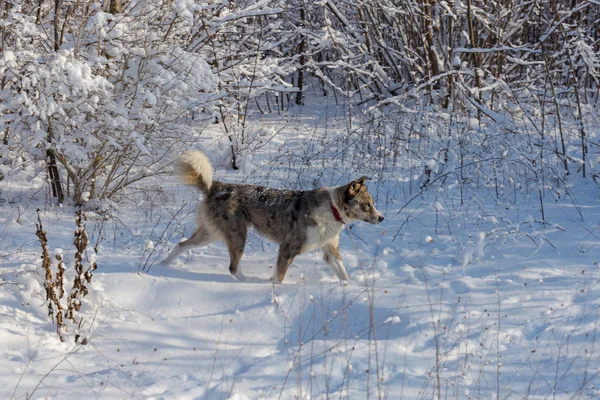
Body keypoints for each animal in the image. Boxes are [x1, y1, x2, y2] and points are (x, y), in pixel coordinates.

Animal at [161, 149, 384, 282]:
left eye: (373, 203)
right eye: (366, 205)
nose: (382, 218)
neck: (332, 208)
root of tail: (217, 186)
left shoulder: (330, 250)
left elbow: (343, 274)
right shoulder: (288, 248)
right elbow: (278, 277)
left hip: (211, 233)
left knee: (181, 245)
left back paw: (162, 266)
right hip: (237, 235)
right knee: (233, 267)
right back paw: (249, 282)